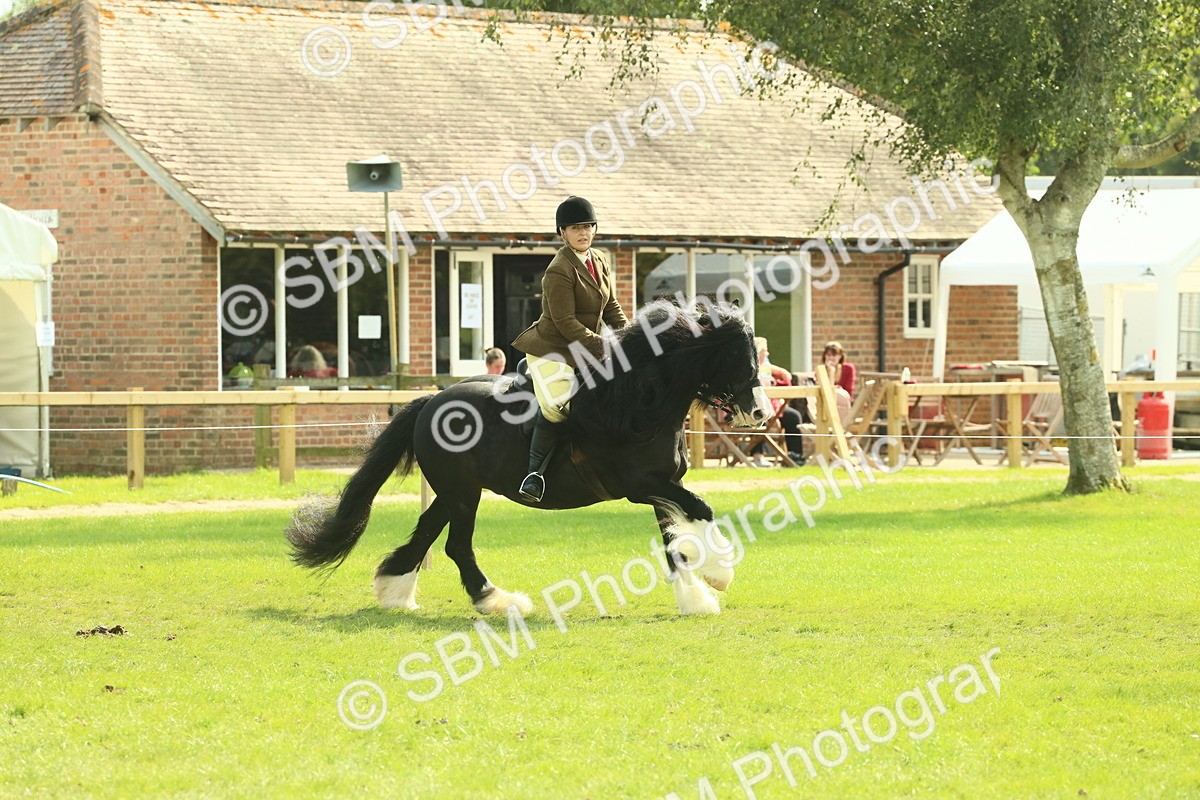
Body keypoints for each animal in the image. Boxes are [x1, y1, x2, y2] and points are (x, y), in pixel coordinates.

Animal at [285, 301, 771, 616]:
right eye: (735, 354)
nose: (760, 413)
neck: (637, 400)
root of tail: (430, 402)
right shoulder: (641, 487)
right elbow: (702, 510)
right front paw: (720, 575)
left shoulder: (663, 487)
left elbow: (674, 543)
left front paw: (696, 598)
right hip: (462, 493)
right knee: (456, 546)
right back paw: (498, 600)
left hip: (454, 490)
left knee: (426, 535)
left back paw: (396, 594)